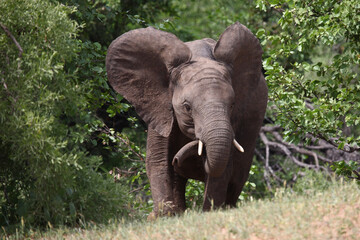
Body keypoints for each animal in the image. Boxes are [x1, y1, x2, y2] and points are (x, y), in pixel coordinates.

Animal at [105, 22, 268, 218]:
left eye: (232, 105)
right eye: (187, 107)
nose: (177, 160)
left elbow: (222, 171)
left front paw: (208, 212)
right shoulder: (161, 112)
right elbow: (158, 162)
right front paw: (164, 216)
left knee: (237, 177)